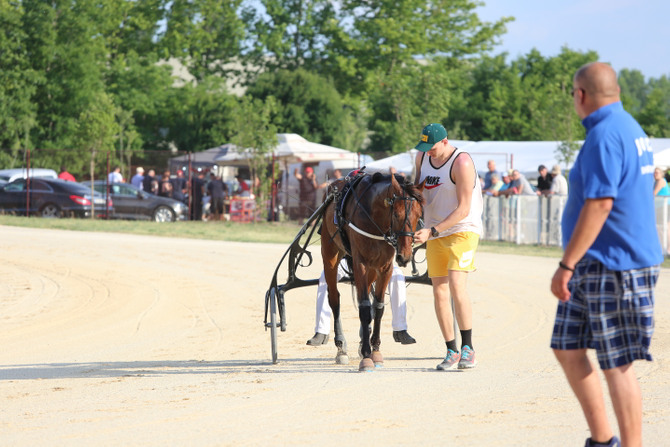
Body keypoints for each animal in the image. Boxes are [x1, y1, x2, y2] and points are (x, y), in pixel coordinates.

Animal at [322, 172, 426, 372]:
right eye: (397, 214)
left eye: (418, 215)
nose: (405, 256)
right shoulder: (360, 264)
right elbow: (363, 307)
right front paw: (366, 356)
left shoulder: (385, 267)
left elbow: (377, 307)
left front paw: (375, 350)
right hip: (330, 252)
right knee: (334, 298)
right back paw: (341, 348)